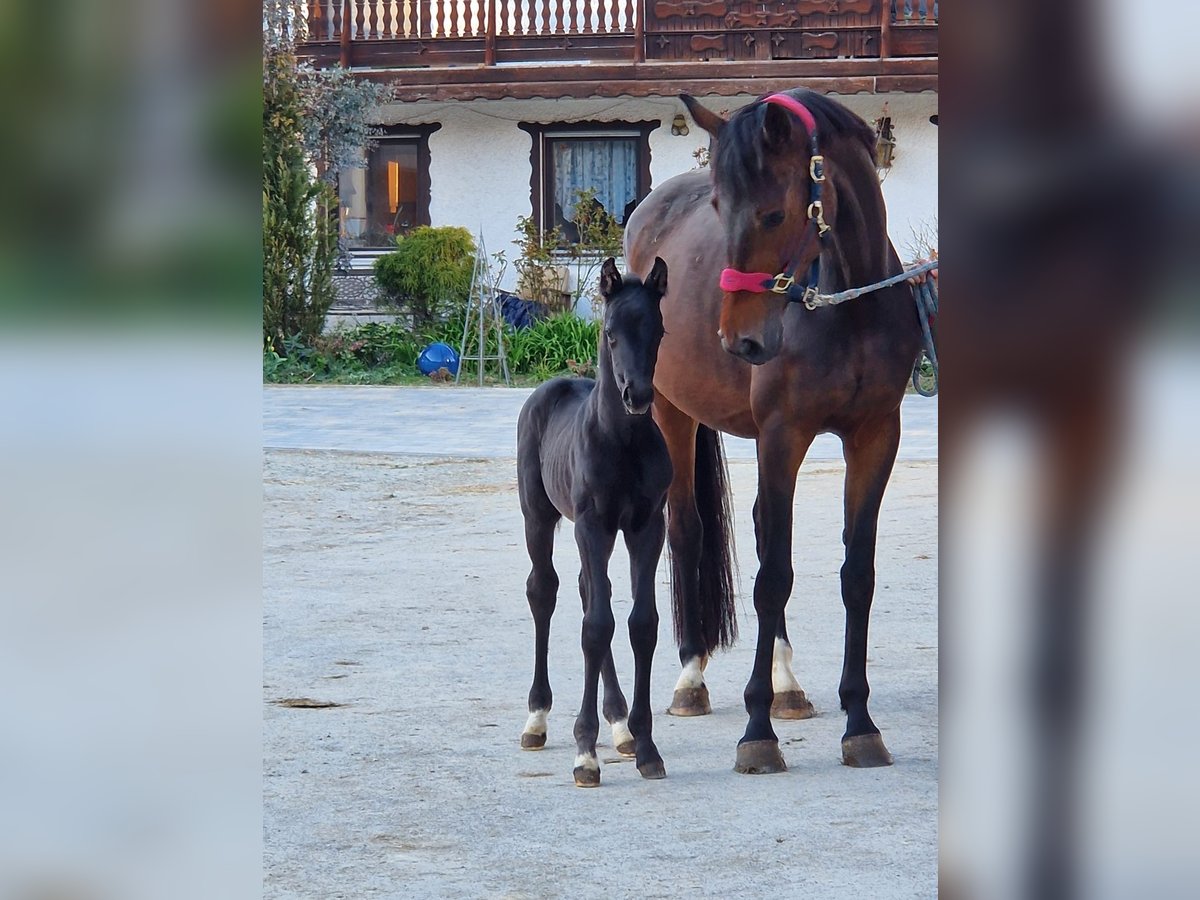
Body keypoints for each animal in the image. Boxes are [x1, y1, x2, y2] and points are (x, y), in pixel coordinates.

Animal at [515, 256, 673, 787]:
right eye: (610, 333)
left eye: (659, 330)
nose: (636, 395)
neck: (621, 441)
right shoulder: (592, 525)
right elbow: (595, 626)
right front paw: (585, 752)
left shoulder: (647, 527)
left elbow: (640, 623)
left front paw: (645, 747)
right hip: (538, 517)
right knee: (544, 591)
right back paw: (537, 719)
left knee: (588, 590)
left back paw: (620, 727)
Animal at [623, 89, 924, 773]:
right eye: (718, 208)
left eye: (773, 212)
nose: (740, 340)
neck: (848, 305)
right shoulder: (783, 436)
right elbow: (773, 577)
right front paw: (756, 733)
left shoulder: (875, 438)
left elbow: (855, 574)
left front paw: (860, 722)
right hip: (670, 413)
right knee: (687, 529)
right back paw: (691, 678)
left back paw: (787, 686)